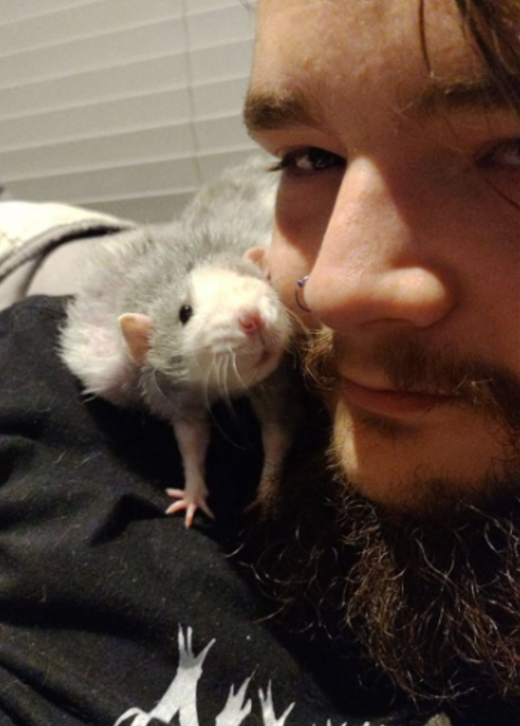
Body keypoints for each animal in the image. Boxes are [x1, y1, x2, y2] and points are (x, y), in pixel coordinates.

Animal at [59, 156, 299, 526]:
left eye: (252, 276)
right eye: (184, 312)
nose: (252, 317)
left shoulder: (275, 377)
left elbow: (277, 430)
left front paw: (268, 490)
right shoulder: (172, 388)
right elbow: (190, 436)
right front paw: (192, 493)